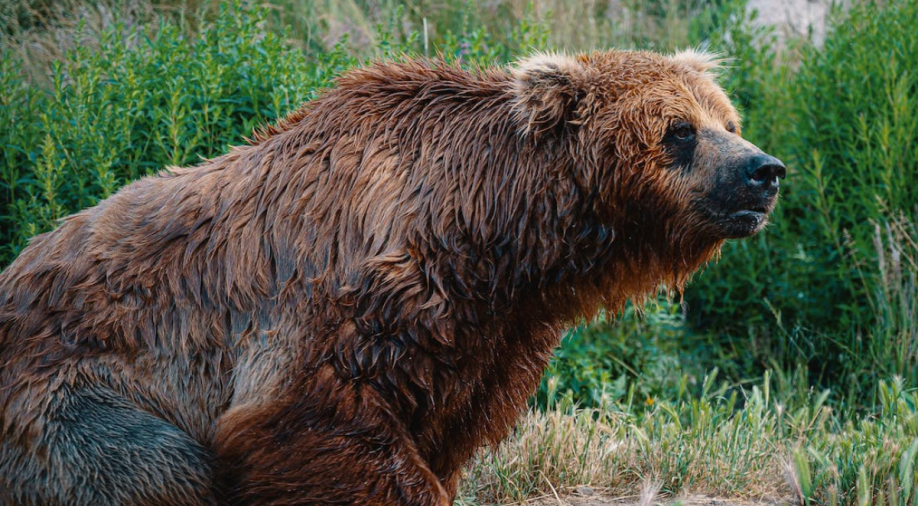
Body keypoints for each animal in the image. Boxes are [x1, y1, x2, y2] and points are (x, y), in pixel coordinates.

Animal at [0, 49, 784, 506]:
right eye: (679, 130)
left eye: (727, 118)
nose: (763, 170)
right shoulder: (339, 301)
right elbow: (312, 416)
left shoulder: (486, 337)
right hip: (67, 400)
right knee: (158, 466)